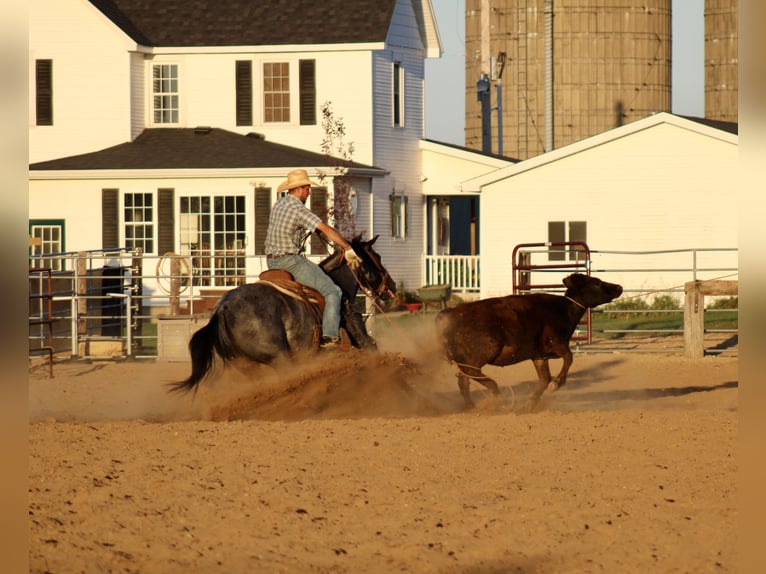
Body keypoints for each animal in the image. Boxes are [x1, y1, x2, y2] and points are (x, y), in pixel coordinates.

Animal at [173, 236, 396, 394]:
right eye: (378, 258)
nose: (392, 287)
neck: (338, 284)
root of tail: (222, 309)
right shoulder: (358, 331)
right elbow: (371, 347)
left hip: (246, 364)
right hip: (279, 358)